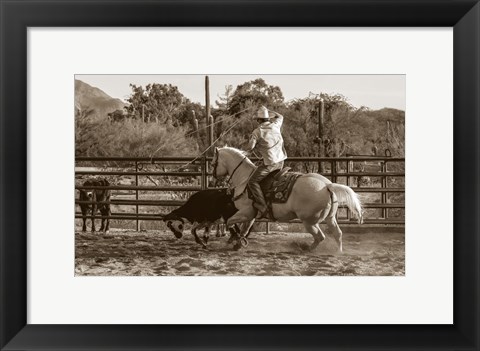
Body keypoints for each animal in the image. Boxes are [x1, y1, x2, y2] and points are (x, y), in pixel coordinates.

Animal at [212, 146, 362, 253]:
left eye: (214, 163)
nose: (213, 178)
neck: (245, 178)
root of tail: (327, 186)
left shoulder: (245, 212)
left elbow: (230, 222)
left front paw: (233, 238)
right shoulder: (251, 214)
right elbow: (244, 229)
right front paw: (238, 243)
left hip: (309, 222)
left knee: (320, 237)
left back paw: (305, 249)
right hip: (330, 219)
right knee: (337, 234)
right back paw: (338, 252)